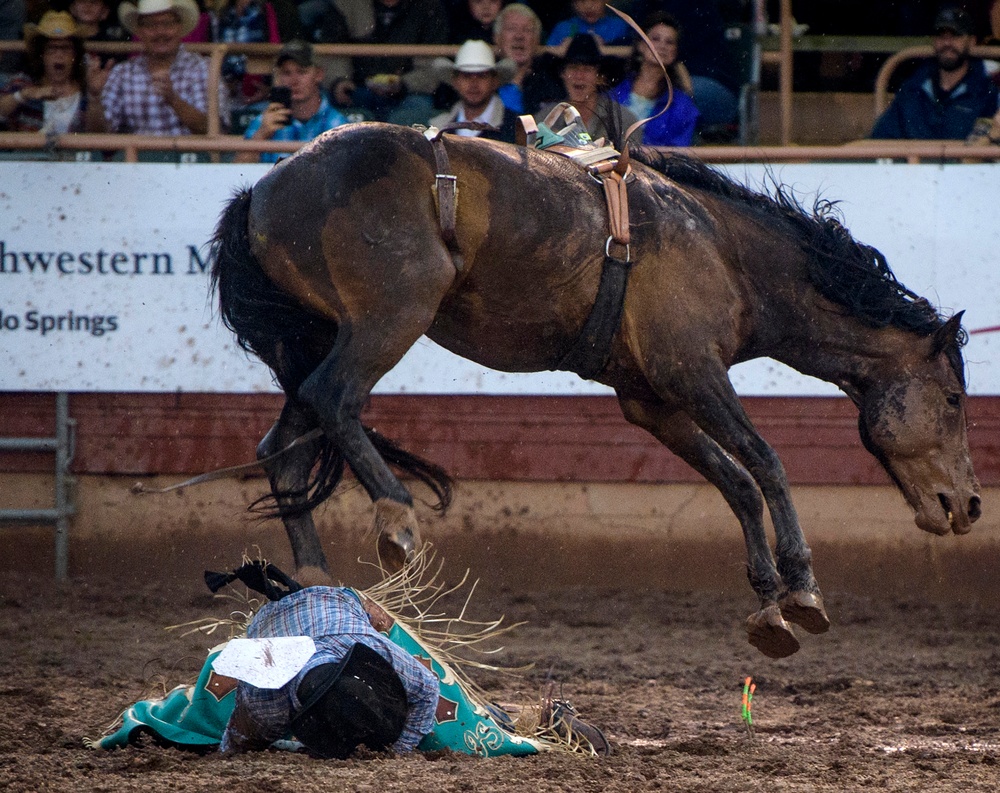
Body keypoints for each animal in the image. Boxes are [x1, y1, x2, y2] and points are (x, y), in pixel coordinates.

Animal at [207, 122, 980, 656]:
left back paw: (312, 574)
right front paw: (804, 589)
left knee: (283, 447)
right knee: (336, 398)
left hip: (312, 335)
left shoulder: (652, 401)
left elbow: (733, 481)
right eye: (953, 400)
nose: (968, 504)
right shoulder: (692, 371)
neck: (725, 252)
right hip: (389, 319)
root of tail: (259, 192)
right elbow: (765, 462)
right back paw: (396, 519)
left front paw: (768, 605)